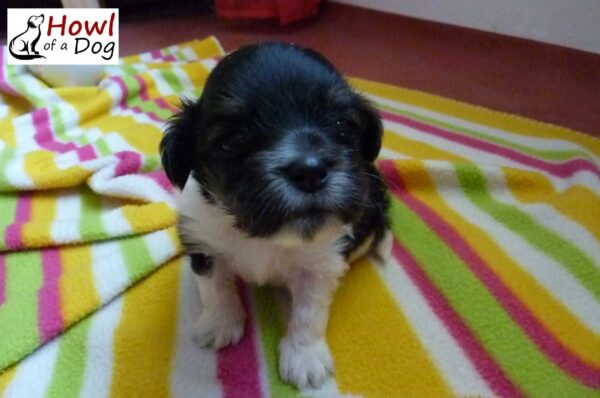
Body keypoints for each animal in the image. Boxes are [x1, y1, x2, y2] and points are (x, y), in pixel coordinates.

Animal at [162, 42, 392, 388]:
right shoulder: (203, 242)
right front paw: (220, 324)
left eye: (342, 125)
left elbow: (309, 314)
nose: (309, 171)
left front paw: (304, 356)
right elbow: (216, 289)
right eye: (231, 142)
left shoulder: (321, 262)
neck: (263, 234)